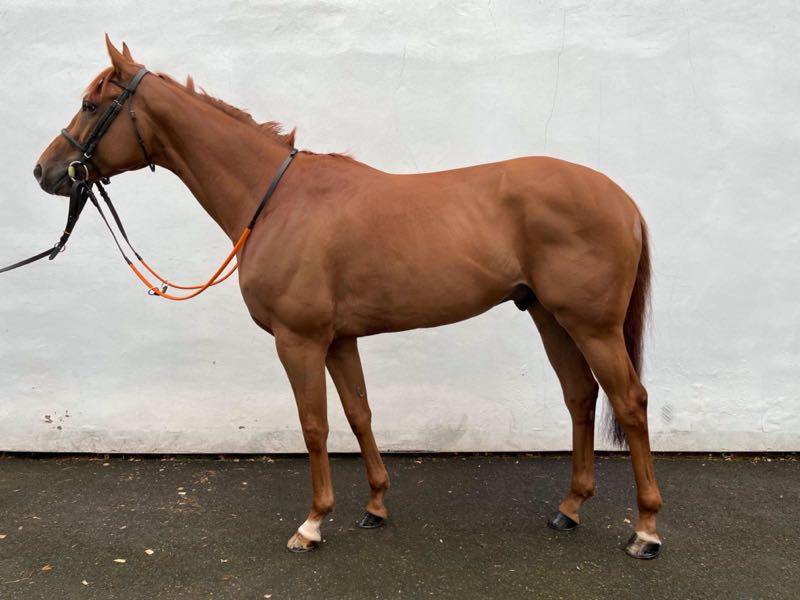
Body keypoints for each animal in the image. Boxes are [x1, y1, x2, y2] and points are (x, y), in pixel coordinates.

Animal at [33, 37, 663, 559]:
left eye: (91, 105)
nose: (45, 171)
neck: (277, 201)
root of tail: (623, 200)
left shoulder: (300, 340)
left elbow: (315, 425)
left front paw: (312, 524)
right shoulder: (339, 340)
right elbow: (360, 414)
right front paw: (375, 506)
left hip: (592, 325)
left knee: (629, 402)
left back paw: (645, 531)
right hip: (551, 318)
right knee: (581, 397)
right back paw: (569, 510)